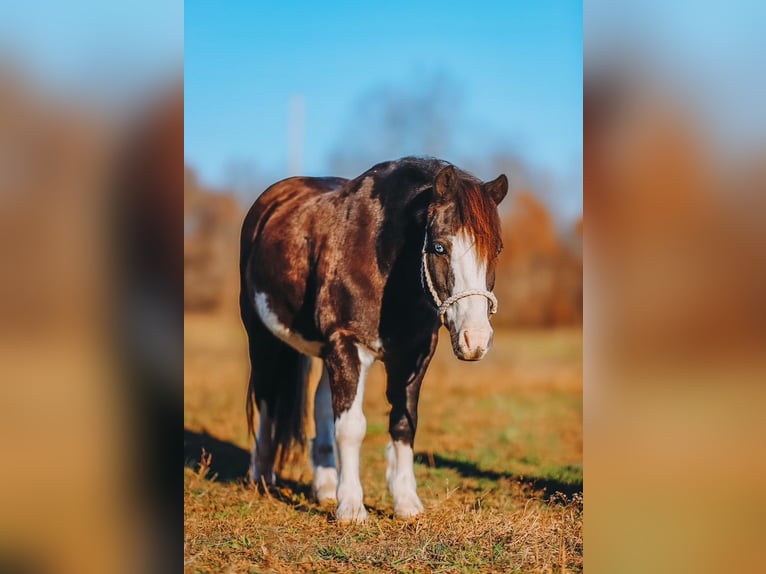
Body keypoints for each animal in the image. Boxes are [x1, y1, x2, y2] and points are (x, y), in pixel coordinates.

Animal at [239, 157, 507, 522]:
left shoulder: (413, 354)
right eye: (439, 247)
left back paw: (325, 487)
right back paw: (262, 476)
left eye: (497, 249)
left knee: (321, 404)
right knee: (267, 398)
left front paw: (406, 502)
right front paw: (352, 508)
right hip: (263, 337)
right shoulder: (346, 344)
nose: (475, 339)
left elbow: (403, 423)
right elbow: (351, 427)